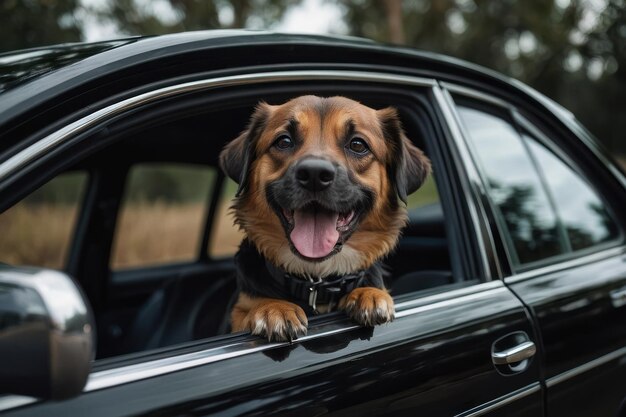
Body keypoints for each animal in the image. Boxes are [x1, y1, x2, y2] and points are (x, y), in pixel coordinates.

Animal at [219, 95, 428, 342]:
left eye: (358, 145)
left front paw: (369, 292)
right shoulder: (237, 314)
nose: (314, 175)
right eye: (284, 141)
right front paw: (273, 306)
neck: (318, 283)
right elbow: (247, 310)